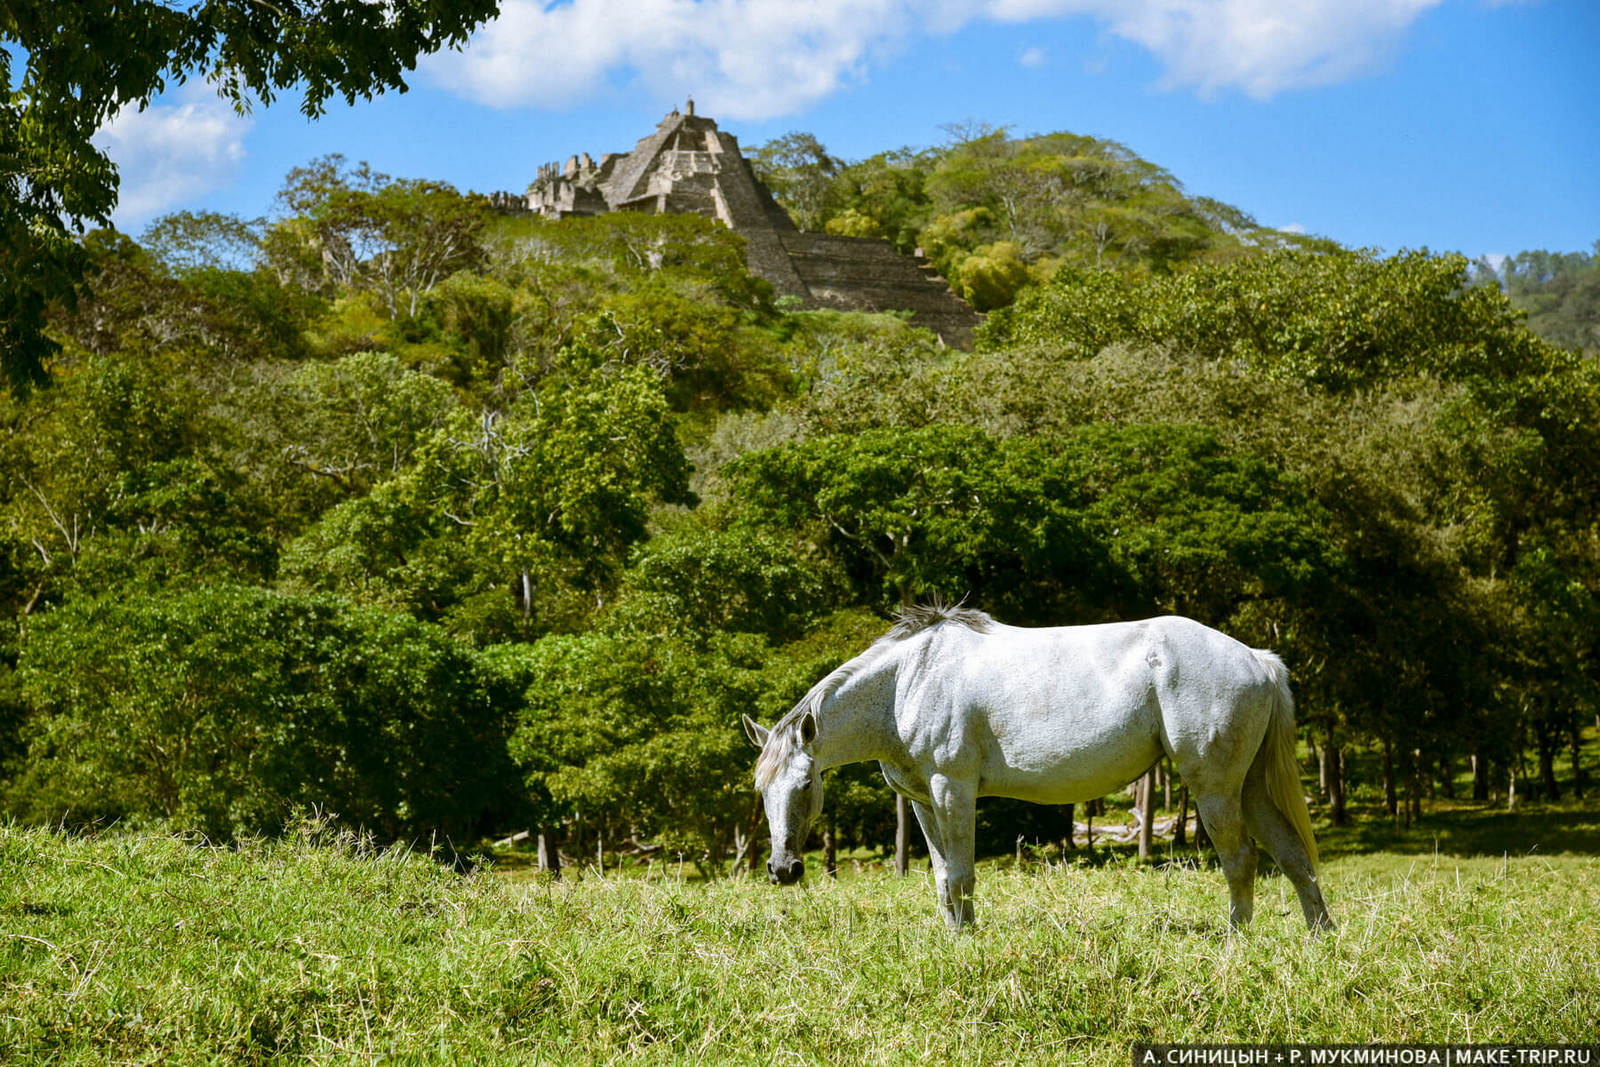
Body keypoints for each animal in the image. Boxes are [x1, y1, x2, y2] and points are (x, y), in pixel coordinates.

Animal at [742, 604, 1331, 927]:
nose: (782, 870)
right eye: (761, 791)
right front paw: (955, 943)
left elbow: (962, 877)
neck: (909, 681)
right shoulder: (925, 803)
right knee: (1292, 856)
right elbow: (942, 880)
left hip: (1214, 788)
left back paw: (1237, 944)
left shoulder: (953, 790)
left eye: (805, 784)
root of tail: (1258, 658)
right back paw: (1318, 940)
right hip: (1248, 787)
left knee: (1241, 860)